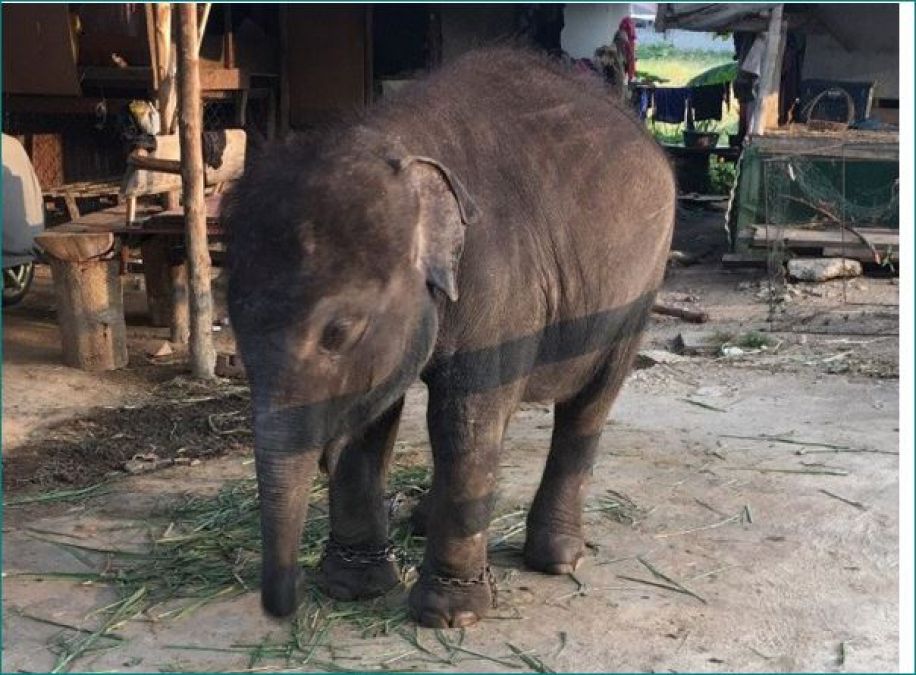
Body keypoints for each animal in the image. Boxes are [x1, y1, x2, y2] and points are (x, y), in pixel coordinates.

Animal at [225, 47, 676, 628]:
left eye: (338, 333)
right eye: (235, 330)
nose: (283, 607)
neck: (394, 142)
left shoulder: (499, 278)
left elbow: (464, 420)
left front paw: (449, 616)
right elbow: (373, 417)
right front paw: (352, 588)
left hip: (641, 287)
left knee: (591, 403)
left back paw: (556, 559)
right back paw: (423, 523)